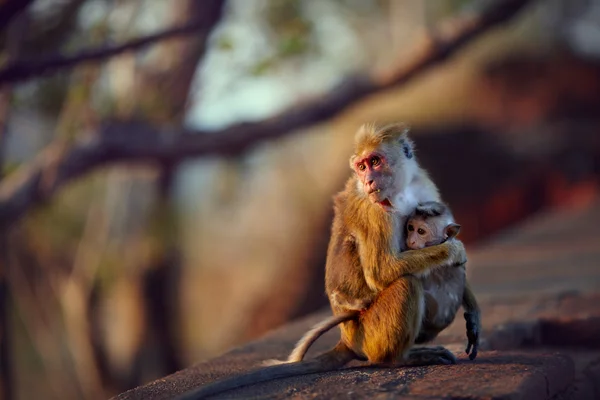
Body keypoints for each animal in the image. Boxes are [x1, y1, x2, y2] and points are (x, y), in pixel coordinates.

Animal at [178, 123, 468, 398]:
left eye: (375, 161)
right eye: (362, 166)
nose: (368, 180)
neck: (401, 190)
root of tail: (348, 340)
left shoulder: (422, 183)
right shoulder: (374, 210)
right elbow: (381, 271)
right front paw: (454, 251)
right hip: (372, 334)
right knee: (406, 284)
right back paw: (396, 359)